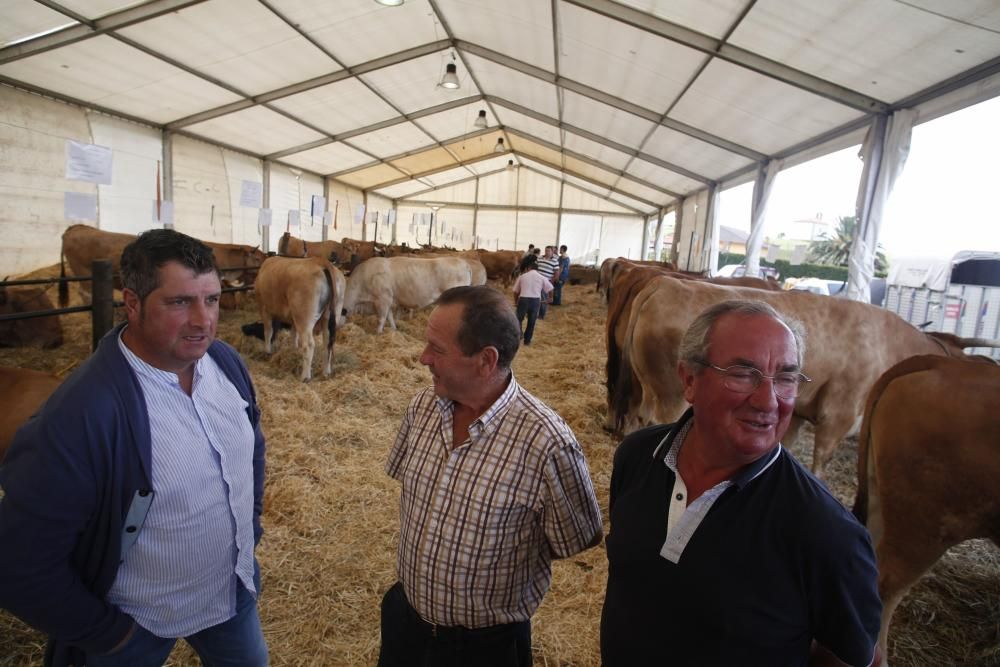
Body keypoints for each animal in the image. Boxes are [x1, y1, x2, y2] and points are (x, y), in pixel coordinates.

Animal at [344, 256, 476, 334]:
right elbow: (390, 317)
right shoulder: (388, 300)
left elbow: (381, 318)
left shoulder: (383, 299)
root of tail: (462, 262)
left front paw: (378, 333)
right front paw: (394, 330)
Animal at [608, 274, 1000, 478]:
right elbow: (821, 458)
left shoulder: (796, 411)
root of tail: (665, 282)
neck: (886, 343)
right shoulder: (838, 414)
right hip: (672, 396)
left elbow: (788, 443)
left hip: (648, 388)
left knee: (639, 416)